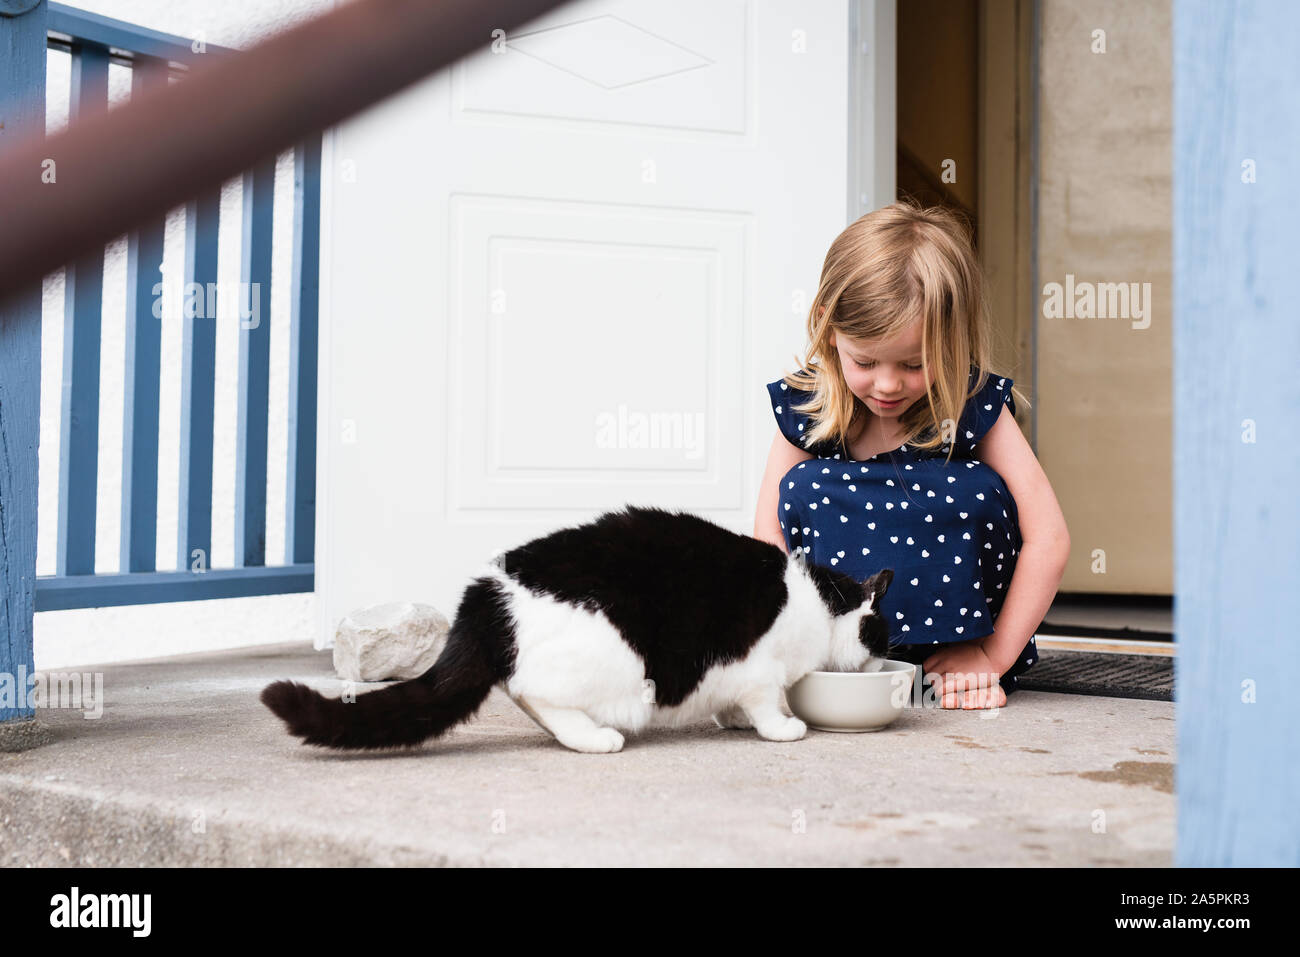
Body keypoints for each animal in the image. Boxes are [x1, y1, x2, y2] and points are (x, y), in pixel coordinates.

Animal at [261, 509, 894, 754]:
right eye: (883, 637)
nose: (881, 662)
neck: (822, 600)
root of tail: (485, 596)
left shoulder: (735, 674)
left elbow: (733, 700)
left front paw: (730, 719)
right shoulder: (759, 667)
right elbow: (764, 702)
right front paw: (781, 728)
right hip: (615, 659)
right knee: (535, 693)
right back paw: (594, 738)